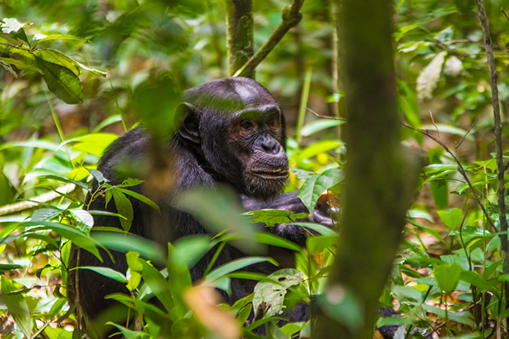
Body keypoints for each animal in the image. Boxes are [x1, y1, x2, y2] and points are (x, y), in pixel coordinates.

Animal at [66, 77, 330, 338]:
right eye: (246, 125)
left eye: (271, 121)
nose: (270, 146)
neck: (195, 152)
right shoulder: (184, 186)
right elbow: (226, 309)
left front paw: (310, 217)